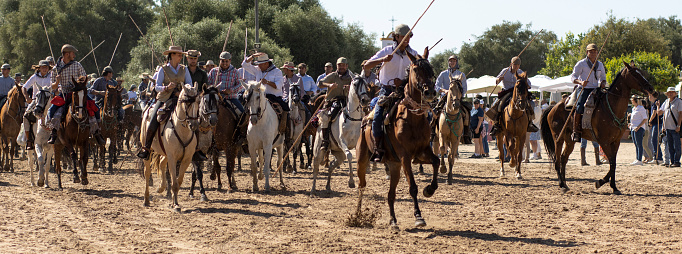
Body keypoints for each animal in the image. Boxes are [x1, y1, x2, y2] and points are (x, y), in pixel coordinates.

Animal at [141, 82, 199, 211]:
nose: (193, 124)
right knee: (147, 172)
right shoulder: (172, 158)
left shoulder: (186, 159)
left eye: (198, 102)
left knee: (162, 163)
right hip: (148, 150)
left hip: (165, 153)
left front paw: (174, 202)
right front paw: (175, 204)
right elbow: (174, 183)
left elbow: (179, 181)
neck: (182, 130)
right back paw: (146, 200)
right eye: (186, 102)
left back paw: (161, 188)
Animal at [354, 46, 438, 229]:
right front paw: (418, 216)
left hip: (394, 166)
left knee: (390, 194)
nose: (429, 92)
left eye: (431, 69)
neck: (412, 118)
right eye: (416, 69)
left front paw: (429, 190)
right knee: (362, 186)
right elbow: (412, 187)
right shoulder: (405, 156)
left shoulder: (422, 152)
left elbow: (436, 161)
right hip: (362, 160)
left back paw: (393, 221)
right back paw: (357, 216)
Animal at [540, 62, 656, 194]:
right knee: (557, 160)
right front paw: (600, 182)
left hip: (570, 140)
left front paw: (614, 187)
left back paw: (565, 184)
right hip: (558, 139)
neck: (611, 107)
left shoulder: (616, 141)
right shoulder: (604, 142)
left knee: (564, 158)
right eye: (634, 74)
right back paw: (561, 184)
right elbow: (612, 163)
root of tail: (553, 108)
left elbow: (613, 163)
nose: (652, 90)